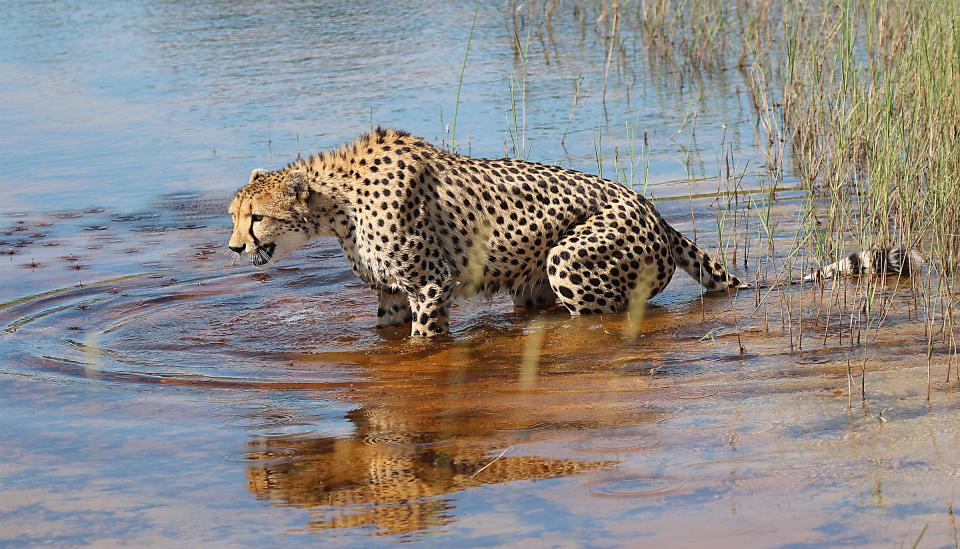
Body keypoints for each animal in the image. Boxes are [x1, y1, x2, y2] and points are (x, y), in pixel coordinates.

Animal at [227, 128, 747, 337]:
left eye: (256, 218)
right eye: (233, 215)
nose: (233, 247)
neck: (337, 204)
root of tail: (651, 208)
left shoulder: (431, 284)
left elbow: (424, 338)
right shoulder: (392, 291)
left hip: (570, 261)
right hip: (533, 285)